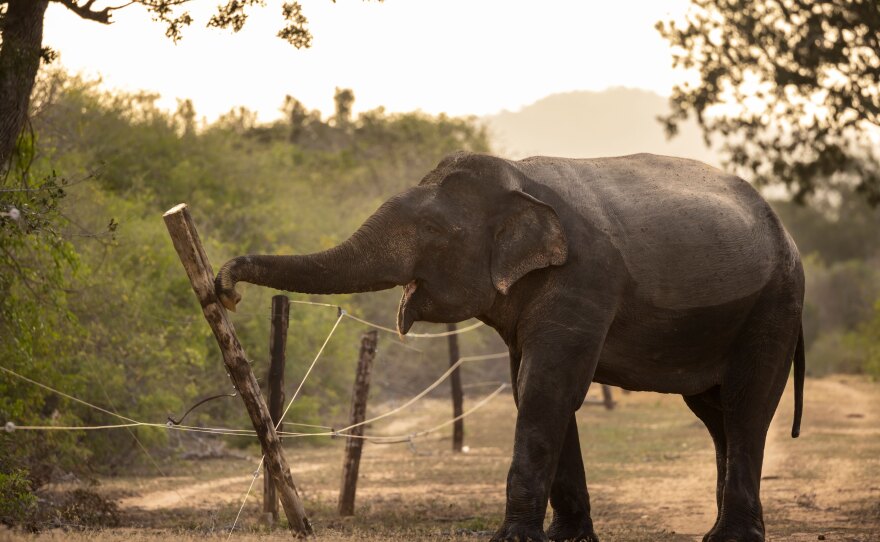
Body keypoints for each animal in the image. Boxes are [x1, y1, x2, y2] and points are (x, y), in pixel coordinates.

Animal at [215, 152, 805, 542]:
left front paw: (515, 540)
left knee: (746, 406)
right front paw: (567, 541)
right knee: (715, 414)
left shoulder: (583, 280)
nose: (227, 289)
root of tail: (787, 233)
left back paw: (731, 539)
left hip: (775, 305)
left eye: (434, 230)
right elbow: (533, 391)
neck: (522, 179)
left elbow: (548, 389)